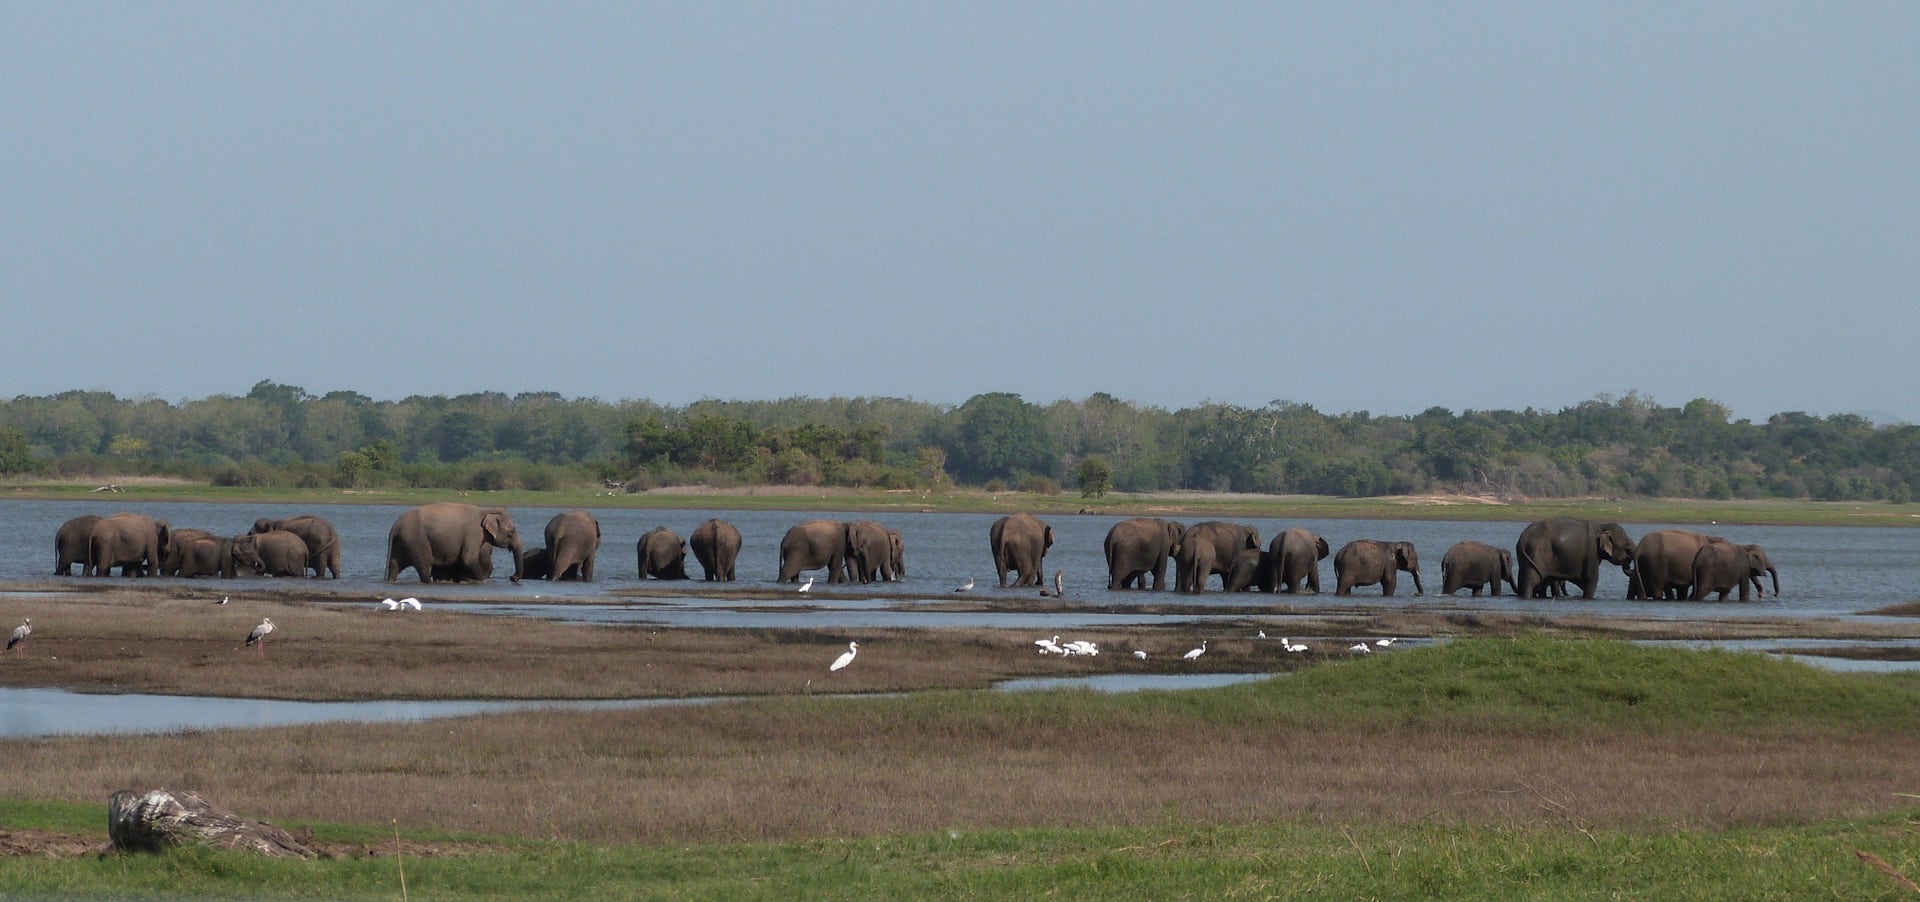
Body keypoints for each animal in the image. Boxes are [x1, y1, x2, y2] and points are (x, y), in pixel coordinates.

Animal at [384, 502, 526, 584]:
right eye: (512, 531)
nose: (512, 577)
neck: (487, 510)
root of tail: (395, 526)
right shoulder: (474, 532)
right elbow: (468, 558)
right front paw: (480, 581)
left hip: (403, 541)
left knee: (394, 565)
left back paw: (391, 581)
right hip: (416, 540)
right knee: (424, 565)